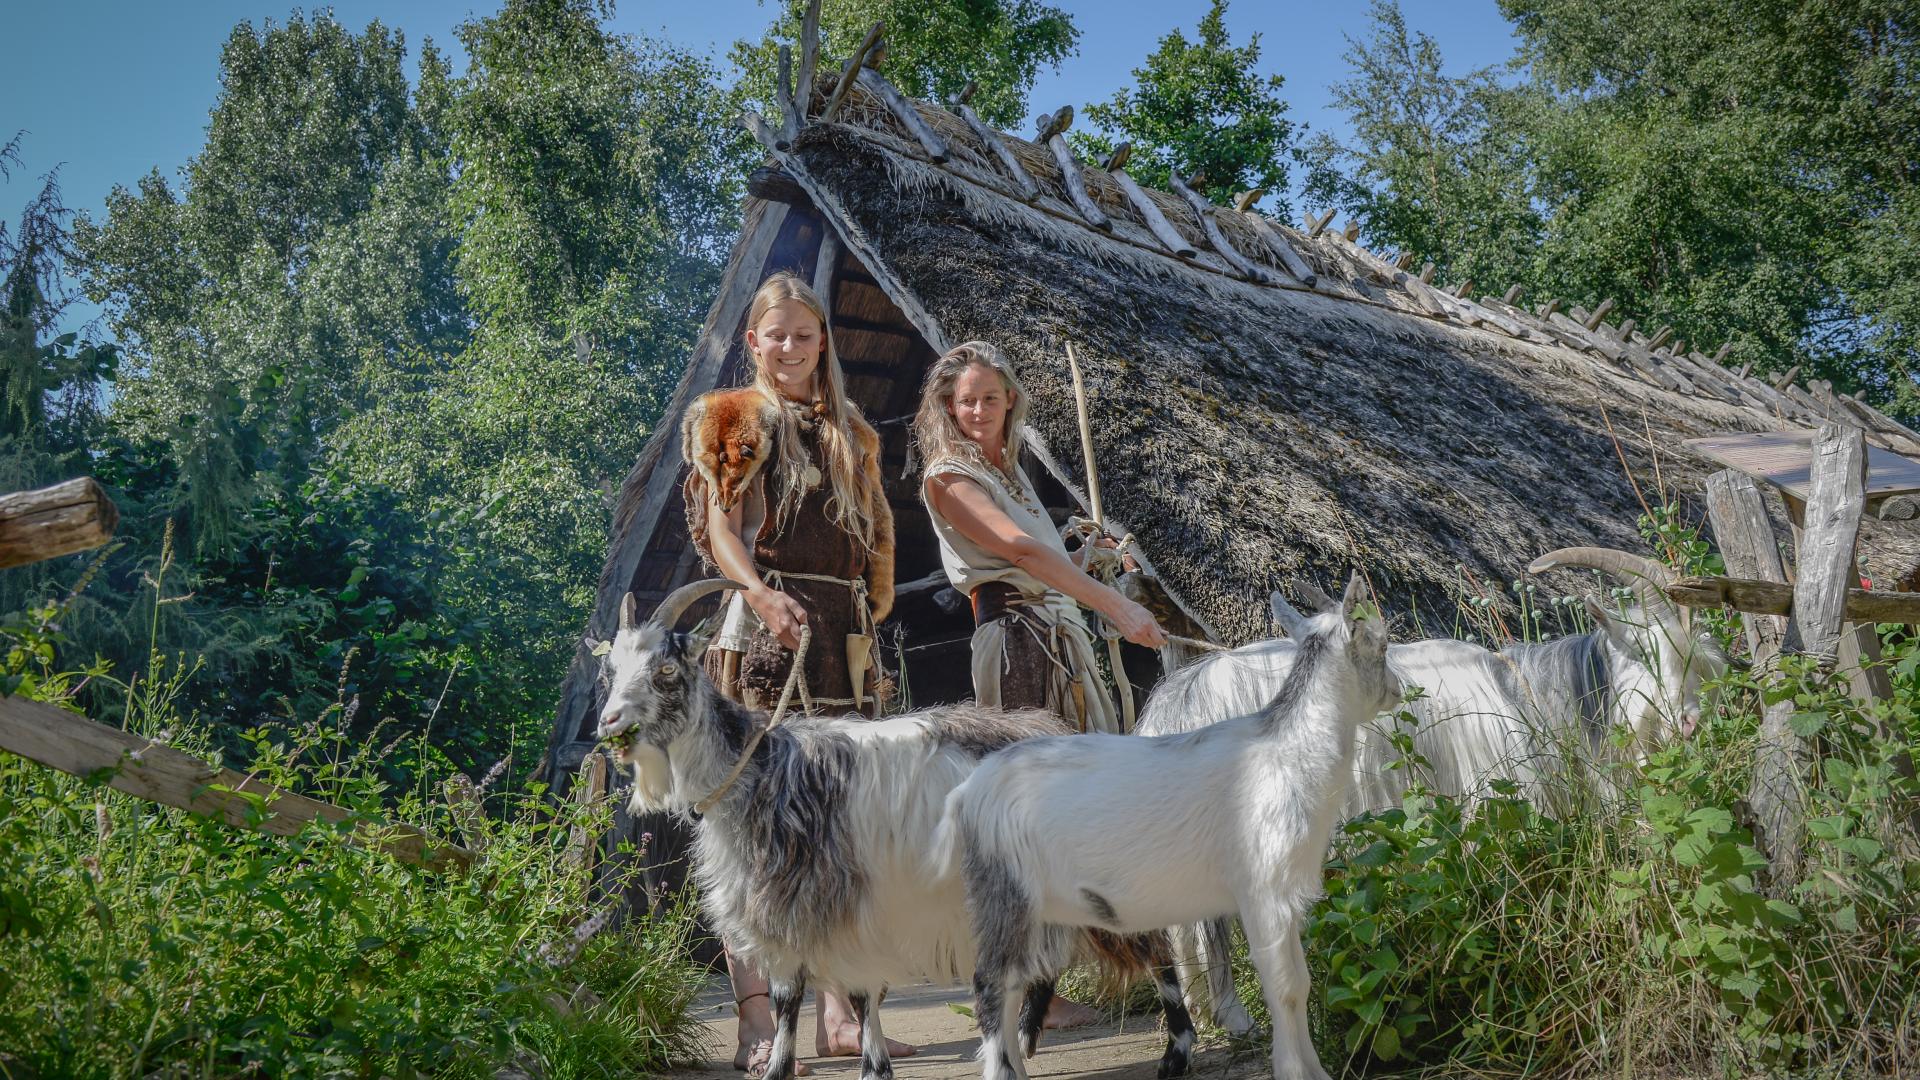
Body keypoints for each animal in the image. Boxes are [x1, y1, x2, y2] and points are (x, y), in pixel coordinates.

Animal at [591, 580, 1190, 1080]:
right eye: (611, 670)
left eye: (668, 669)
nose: (608, 722)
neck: (755, 771)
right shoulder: (822, 911)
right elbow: (831, 996)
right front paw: (871, 1067)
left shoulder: (816, 900)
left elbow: (809, 998)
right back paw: (1019, 1048)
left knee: (1155, 946)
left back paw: (1173, 1055)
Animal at [940, 572, 1397, 1076]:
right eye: (1383, 643)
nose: (1399, 690)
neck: (1288, 753)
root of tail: (969, 792)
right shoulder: (1263, 890)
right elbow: (1286, 988)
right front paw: (1296, 1070)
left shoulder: (1282, 896)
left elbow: (1300, 981)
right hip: (1006, 896)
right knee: (990, 988)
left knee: (1014, 986)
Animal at [1128, 541, 1735, 1030]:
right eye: (1654, 657)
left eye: (1702, 666)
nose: (1691, 724)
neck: (1536, 700)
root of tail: (1180, 699)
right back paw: (1232, 1015)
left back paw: (1201, 1005)